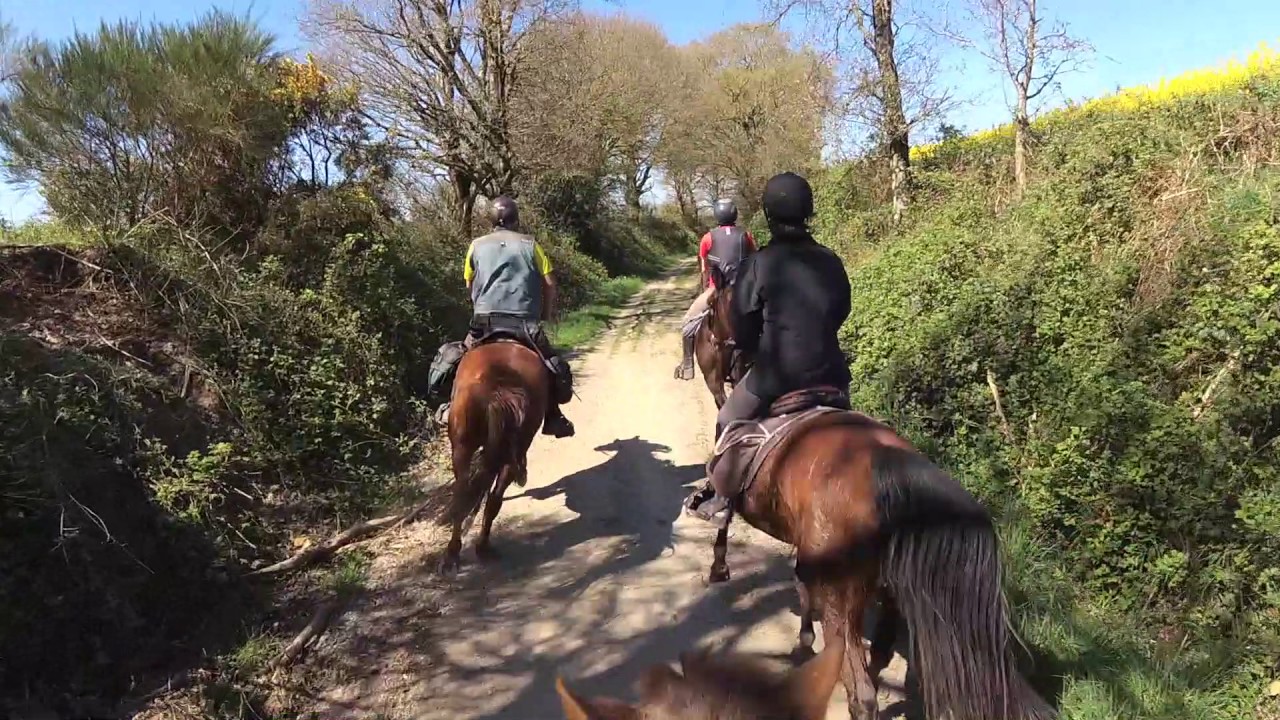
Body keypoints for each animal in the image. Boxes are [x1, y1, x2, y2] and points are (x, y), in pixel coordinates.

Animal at [706, 410, 1054, 720]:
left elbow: (728, 523)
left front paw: (719, 566)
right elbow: (801, 585)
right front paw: (804, 643)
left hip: (843, 597)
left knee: (860, 687)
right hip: (886, 588)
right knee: (879, 652)